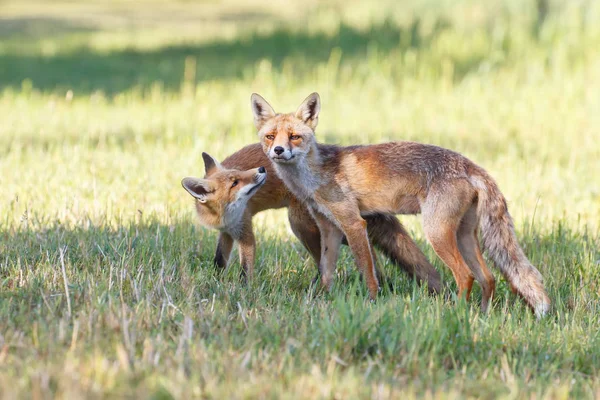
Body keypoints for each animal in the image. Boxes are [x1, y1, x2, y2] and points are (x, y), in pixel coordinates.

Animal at [178, 144, 440, 290]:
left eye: (239, 176)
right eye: (234, 182)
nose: (261, 169)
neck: (224, 216)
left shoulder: (245, 233)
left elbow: (245, 268)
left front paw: (243, 290)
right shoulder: (227, 232)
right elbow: (219, 260)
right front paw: (215, 280)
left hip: (301, 224)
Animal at [251, 92, 552, 318]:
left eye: (294, 136)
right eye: (270, 136)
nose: (278, 151)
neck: (317, 173)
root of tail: (471, 165)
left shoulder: (353, 223)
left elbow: (367, 270)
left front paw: (372, 303)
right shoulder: (330, 229)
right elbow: (326, 272)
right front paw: (323, 302)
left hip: (436, 233)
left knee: (466, 276)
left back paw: (455, 313)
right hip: (464, 235)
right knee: (488, 278)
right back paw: (481, 316)